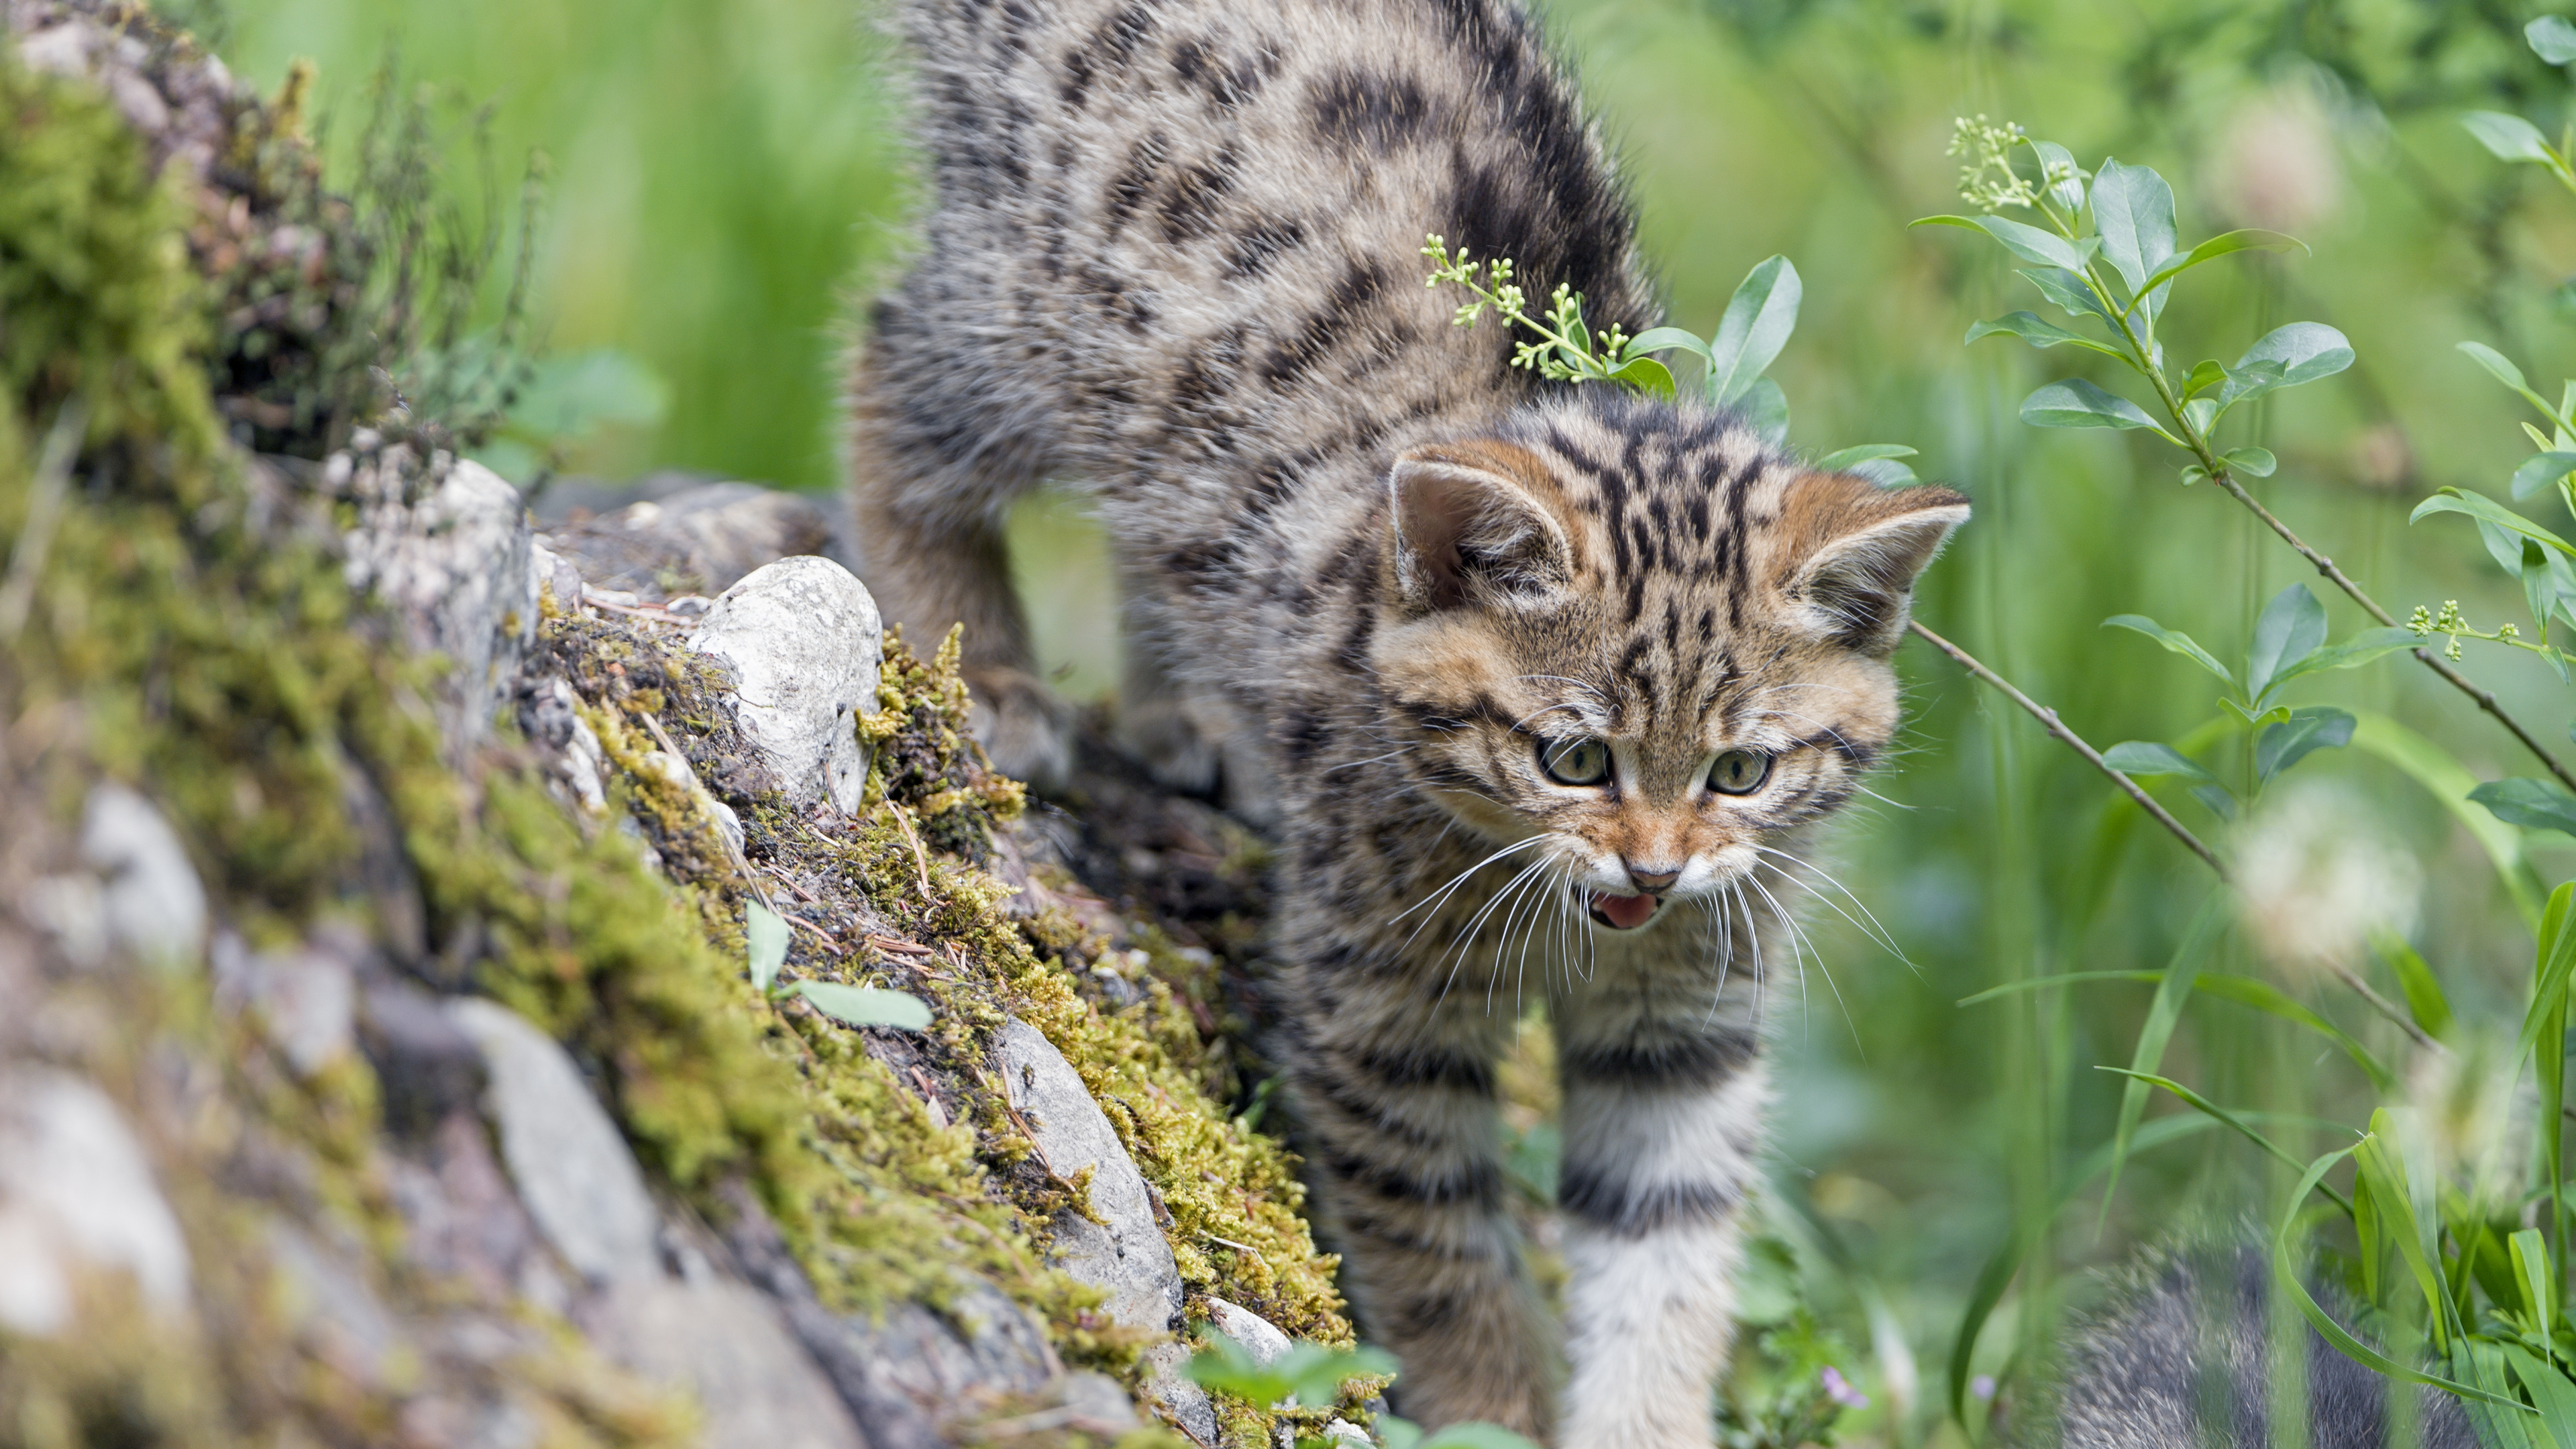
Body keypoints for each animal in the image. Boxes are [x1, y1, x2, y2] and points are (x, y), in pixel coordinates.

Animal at [845, 5, 1947, 1433]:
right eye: (1572, 758)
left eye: (1742, 772)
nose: (1653, 869)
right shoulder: (1374, 1016)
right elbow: (1440, 1250)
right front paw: (1493, 1413)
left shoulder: (1688, 1022)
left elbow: (1668, 1250)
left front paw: (1636, 1418)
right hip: (1060, 312)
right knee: (896, 348)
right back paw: (973, 666)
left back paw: (1188, 710)